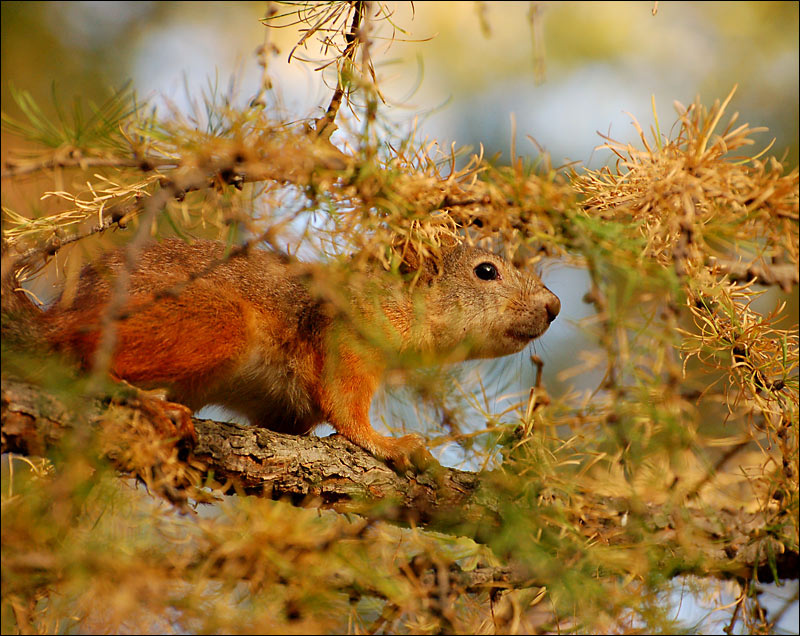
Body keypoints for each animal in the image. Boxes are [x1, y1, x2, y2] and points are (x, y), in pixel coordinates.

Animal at [4, 238, 560, 471]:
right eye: (486, 272)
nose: (554, 306)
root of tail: (70, 310)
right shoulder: (343, 334)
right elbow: (346, 406)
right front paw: (388, 443)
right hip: (214, 321)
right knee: (86, 357)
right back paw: (142, 400)